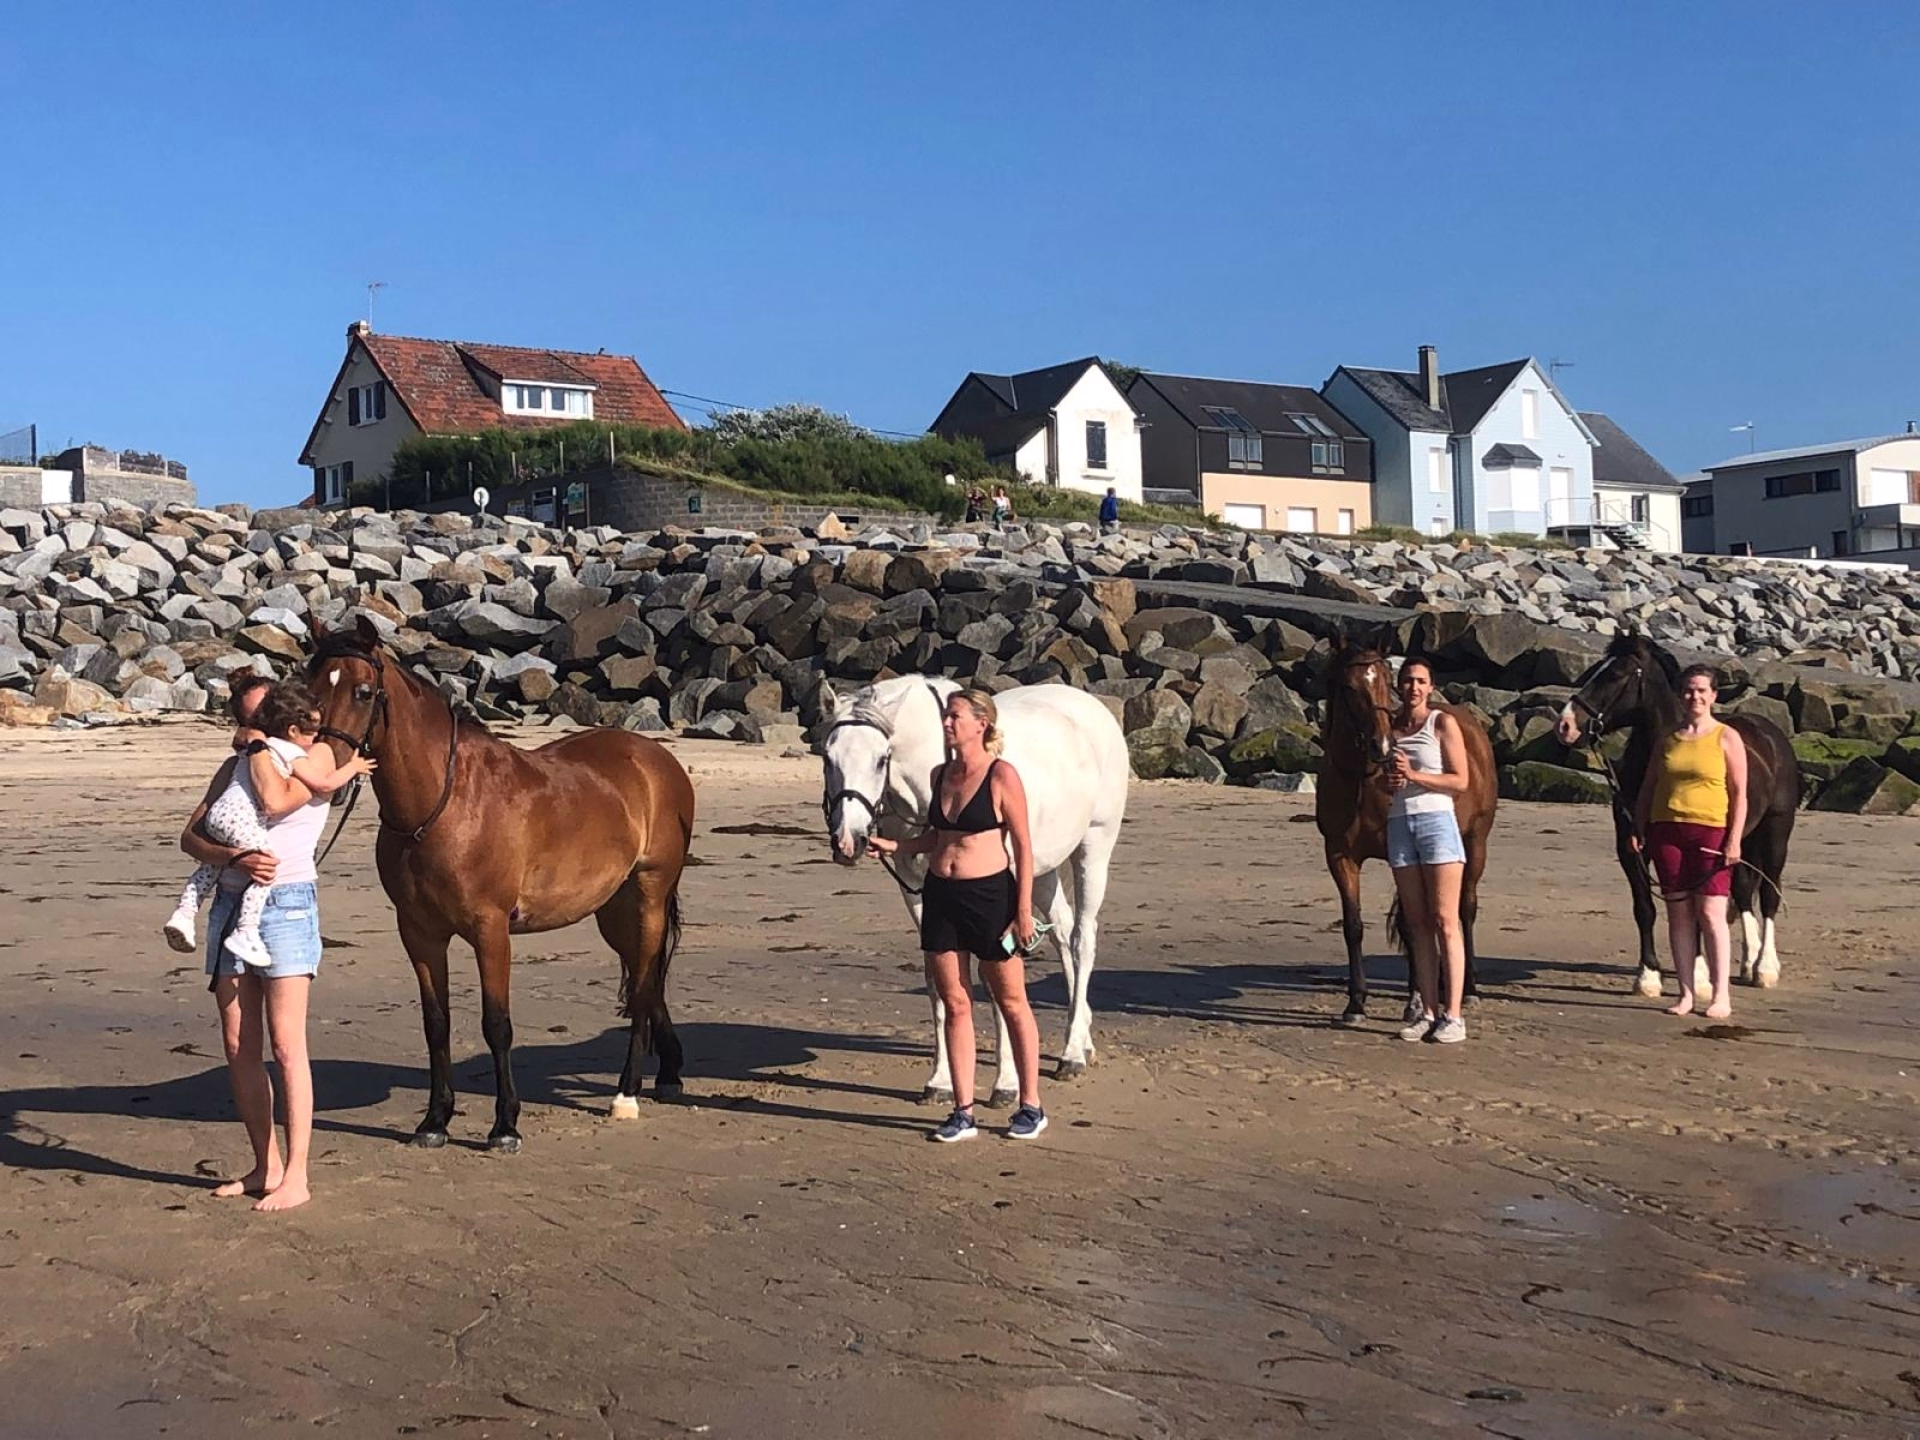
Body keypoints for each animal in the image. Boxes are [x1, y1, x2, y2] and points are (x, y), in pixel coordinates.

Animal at [304, 617, 696, 1151]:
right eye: (310, 689)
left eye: (363, 692)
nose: (327, 776)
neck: (446, 801)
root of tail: (657, 759)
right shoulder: (420, 933)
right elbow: (436, 1024)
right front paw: (434, 1121)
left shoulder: (490, 931)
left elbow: (497, 1024)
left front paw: (505, 1126)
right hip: (615, 912)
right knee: (648, 977)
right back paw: (669, 1073)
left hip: (649, 897)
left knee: (641, 987)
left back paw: (627, 1094)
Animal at [819, 675, 1128, 1106]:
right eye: (827, 758)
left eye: (882, 758)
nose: (848, 842)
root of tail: (1091, 706)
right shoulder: (919, 890)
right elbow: (938, 978)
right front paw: (941, 1081)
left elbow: (994, 978)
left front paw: (1006, 1084)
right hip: (1042, 870)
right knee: (1064, 935)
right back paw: (1081, 1038)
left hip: (1094, 846)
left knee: (1083, 939)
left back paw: (1071, 1054)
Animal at [1315, 632, 1499, 1024]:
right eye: (1348, 686)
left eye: (1386, 682)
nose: (1382, 746)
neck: (1363, 780)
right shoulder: (1338, 855)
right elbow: (1353, 925)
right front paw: (1356, 1003)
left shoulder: (1400, 854)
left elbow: (1412, 925)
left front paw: (1415, 1001)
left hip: (1475, 842)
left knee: (1465, 907)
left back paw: (1469, 988)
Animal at [1554, 633, 1799, 998]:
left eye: (1615, 675)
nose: (1565, 725)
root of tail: (1770, 734)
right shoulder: (1631, 847)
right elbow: (1646, 907)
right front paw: (1648, 977)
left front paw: (1697, 978)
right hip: (1739, 841)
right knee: (1743, 891)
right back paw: (1746, 960)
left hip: (1774, 834)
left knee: (1769, 895)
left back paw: (1764, 968)